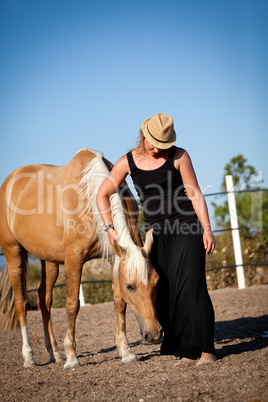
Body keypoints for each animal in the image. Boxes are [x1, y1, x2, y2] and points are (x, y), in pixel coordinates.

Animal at [0, 149, 161, 370]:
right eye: (130, 286)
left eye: (156, 281)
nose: (154, 335)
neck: (90, 196)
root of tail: (9, 181)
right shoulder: (73, 259)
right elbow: (72, 305)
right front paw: (71, 358)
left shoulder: (114, 258)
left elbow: (119, 302)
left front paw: (126, 352)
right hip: (14, 253)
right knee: (21, 303)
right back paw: (29, 357)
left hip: (49, 261)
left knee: (44, 300)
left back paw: (54, 354)